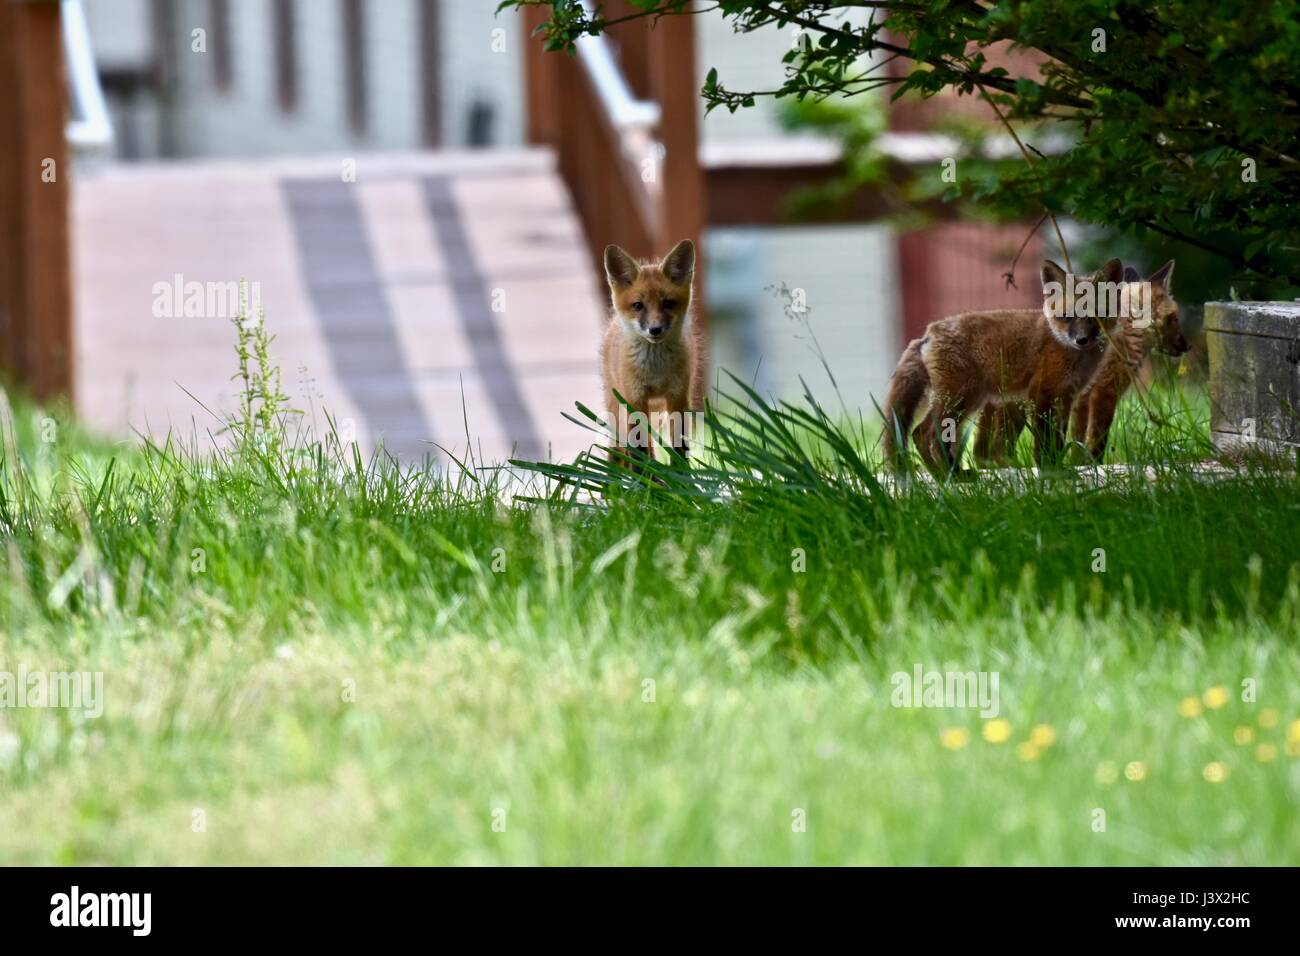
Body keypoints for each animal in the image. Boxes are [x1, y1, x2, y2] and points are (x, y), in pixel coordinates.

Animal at [603, 238, 707, 463]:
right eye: (638, 305)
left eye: (668, 303)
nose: (655, 329)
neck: (655, 370)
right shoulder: (634, 399)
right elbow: (640, 451)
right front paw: (645, 473)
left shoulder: (678, 397)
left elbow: (679, 448)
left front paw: (680, 472)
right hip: (618, 408)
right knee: (620, 447)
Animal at [883, 260, 1128, 473]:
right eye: (1067, 317)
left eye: (1097, 316)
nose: (1082, 340)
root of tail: (928, 333)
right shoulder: (1041, 393)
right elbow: (1043, 442)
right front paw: (1050, 470)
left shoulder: (1065, 397)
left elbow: (1058, 440)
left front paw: (1060, 467)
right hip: (960, 397)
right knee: (924, 434)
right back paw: (949, 477)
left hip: (970, 401)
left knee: (927, 436)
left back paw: (949, 475)